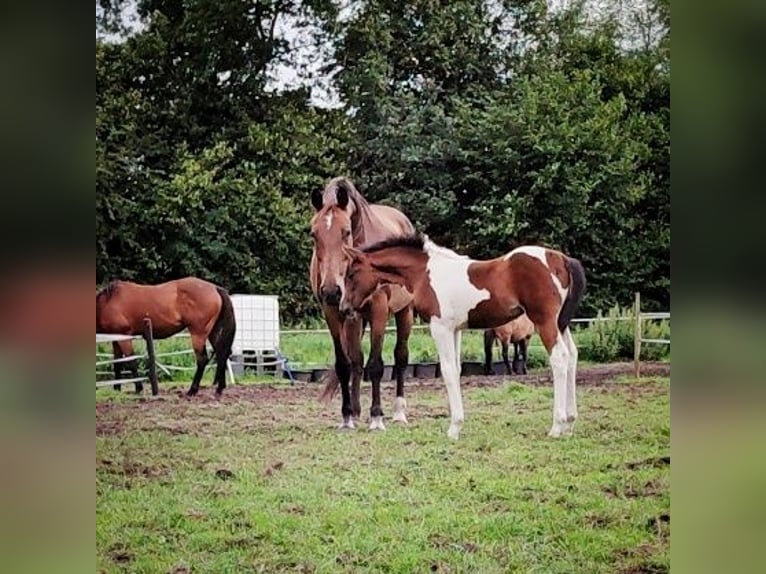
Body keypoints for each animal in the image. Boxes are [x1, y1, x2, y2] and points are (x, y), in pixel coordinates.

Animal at [96, 278, 236, 396]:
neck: (107, 302)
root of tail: (215, 288)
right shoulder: (115, 338)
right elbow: (117, 363)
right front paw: (116, 389)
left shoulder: (125, 337)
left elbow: (131, 362)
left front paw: (138, 389)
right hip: (212, 333)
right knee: (221, 355)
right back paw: (219, 388)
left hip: (198, 334)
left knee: (202, 360)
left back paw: (192, 390)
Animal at [310, 177, 416, 432]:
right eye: (313, 234)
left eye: (346, 231)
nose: (331, 290)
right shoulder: (333, 313)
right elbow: (345, 364)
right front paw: (347, 416)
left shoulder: (379, 310)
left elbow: (376, 365)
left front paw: (377, 417)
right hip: (356, 319)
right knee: (356, 362)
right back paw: (356, 411)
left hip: (404, 313)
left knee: (401, 357)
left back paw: (399, 412)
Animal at [342, 236, 588, 444]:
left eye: (351, 274)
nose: (344, 307)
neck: (427, 273)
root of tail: (561, 258)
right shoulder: (456, 329)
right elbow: (457, 369)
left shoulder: (440, 327)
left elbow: (448, 370)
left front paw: (454, 428)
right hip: (560, 323)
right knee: (573, 356)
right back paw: (571, 422)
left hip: (544, 320)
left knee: (559, 358)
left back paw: (557, 426)